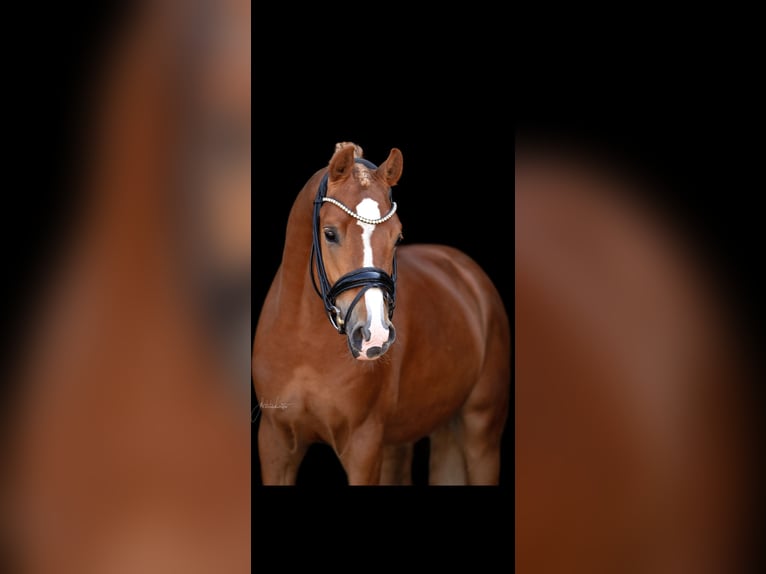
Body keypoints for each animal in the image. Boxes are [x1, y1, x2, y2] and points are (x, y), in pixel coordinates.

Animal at [255, 144, 512, 486]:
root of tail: (465, 272)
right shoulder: (275, 443)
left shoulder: (363, 447)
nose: (373, 335)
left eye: (397, 236)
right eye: (329, 233)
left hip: (481, 433)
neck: (305, 346)